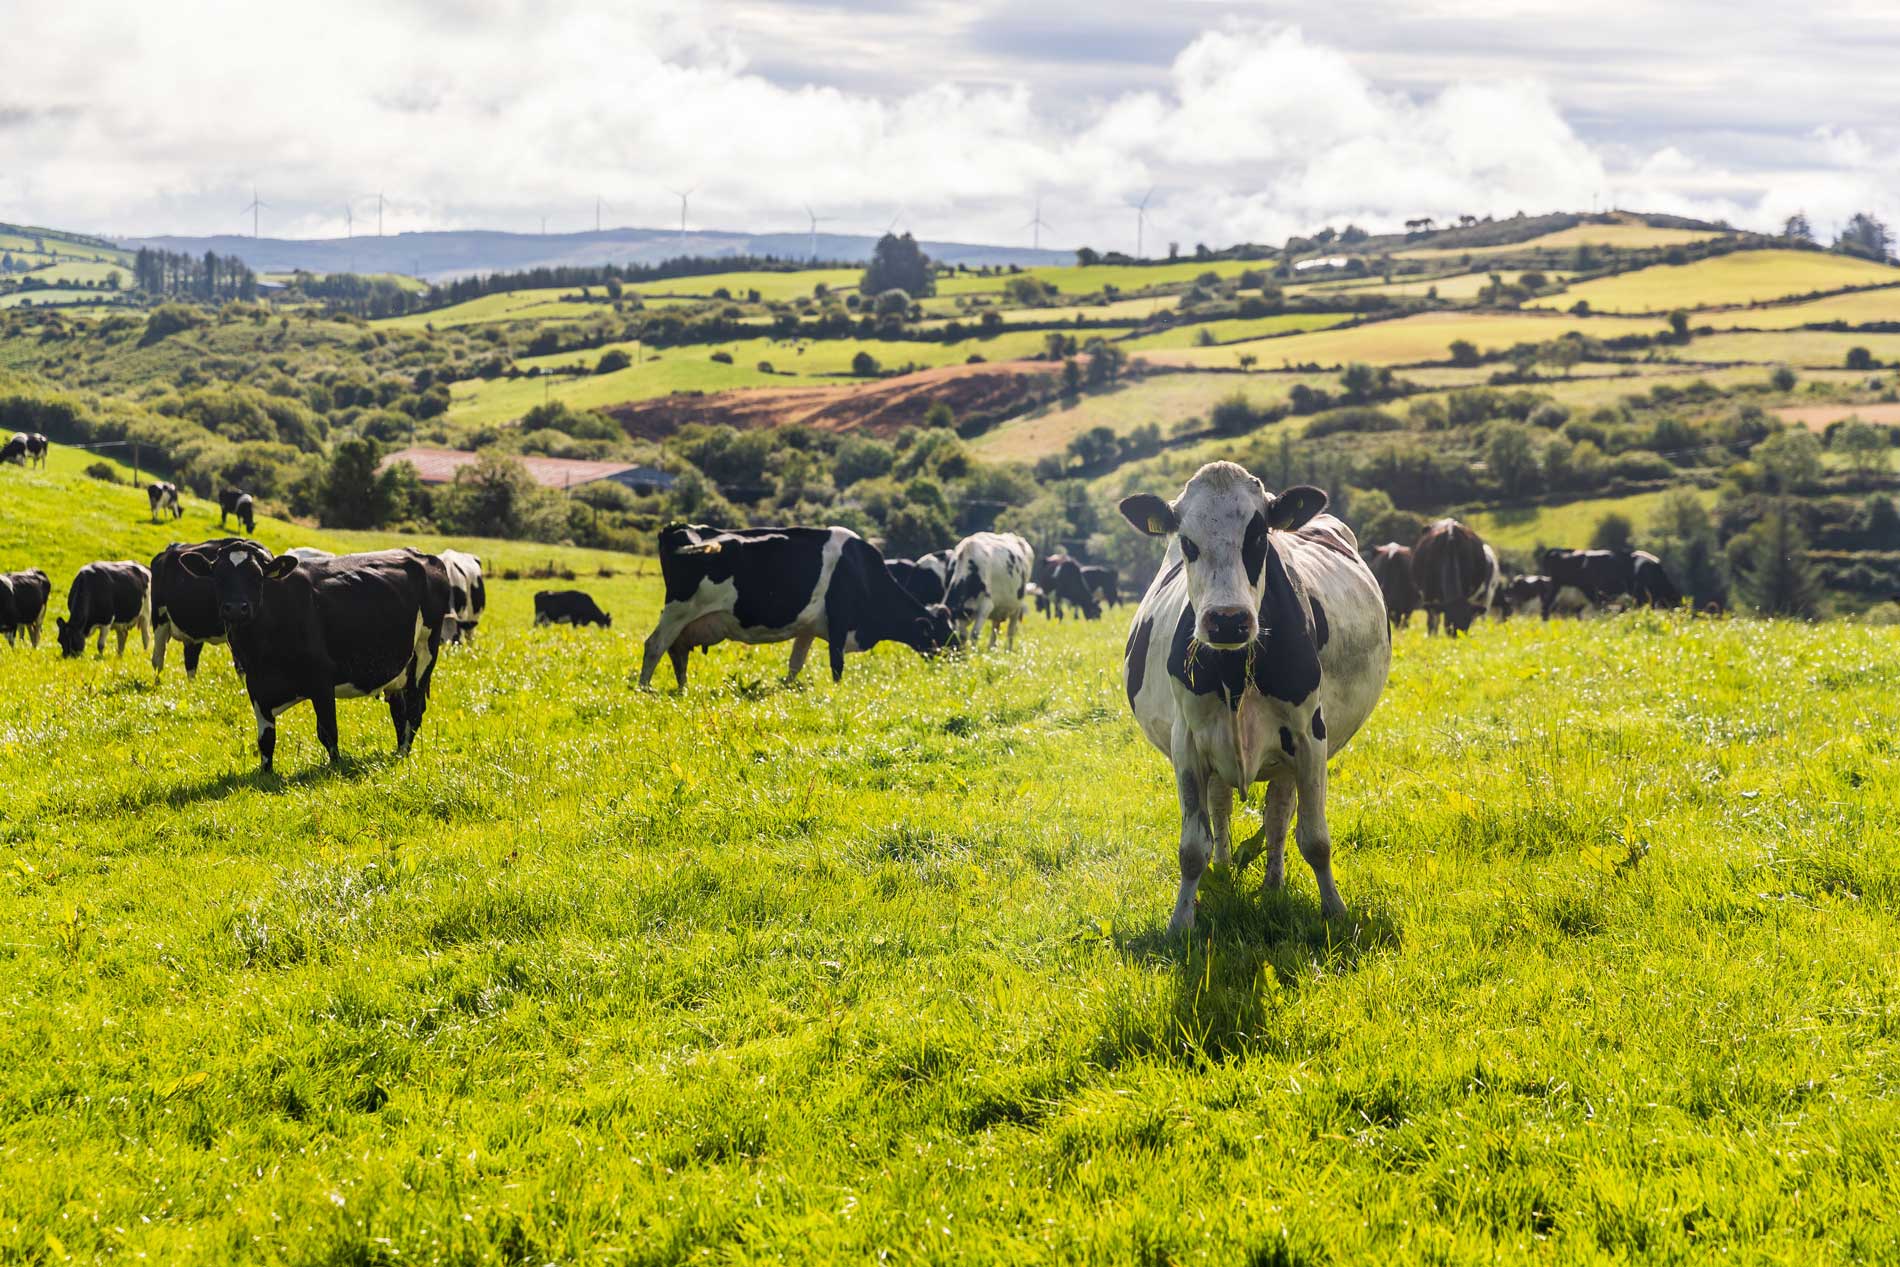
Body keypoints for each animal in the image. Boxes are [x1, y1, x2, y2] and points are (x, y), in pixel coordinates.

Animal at [150, 538, 261, 678]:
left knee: (191, 662)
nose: (236, 608)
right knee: (158, 659)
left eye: (257, 576)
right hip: (159, 618)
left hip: (193, 633)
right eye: (218, 577)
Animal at [176, 546, 450, 773]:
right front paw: (266, 774)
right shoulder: (256, 685)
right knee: (399, 711)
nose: (235, 608)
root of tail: (422, 555)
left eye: (256, 576)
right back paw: (398, 751)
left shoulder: (321, 680)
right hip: (398, 670)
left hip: (426, 649)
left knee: (414, 708)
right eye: (218, 577)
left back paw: (403, 755)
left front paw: (335, 768)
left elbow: (328, 732)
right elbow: (266, 740)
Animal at [639, 523, 955, 688]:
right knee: (654, 645)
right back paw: (644, 688)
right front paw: (836, 692)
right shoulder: (839, 622)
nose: (958, 658)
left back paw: (682, 689)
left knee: (677, 651)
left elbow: (795, 664)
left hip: (686, 620)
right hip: (679, 609)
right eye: (945, 635)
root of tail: (676, 527)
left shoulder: (808, 628)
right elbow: (836, 665)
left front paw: (788, 689)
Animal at [1119, 462, 1390, 932]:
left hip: (1286, 757)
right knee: (1222, 807)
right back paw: (1225, 872)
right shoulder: (1187, 742)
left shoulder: (1310, 737)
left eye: (1259, 536)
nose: (1227, 620)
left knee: (1278, 817)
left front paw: (1334, 911)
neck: (1233, 674)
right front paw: (1181, 921)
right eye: (1186, 542)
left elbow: (1315, 839)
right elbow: (1193, 846)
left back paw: (1273, 886)